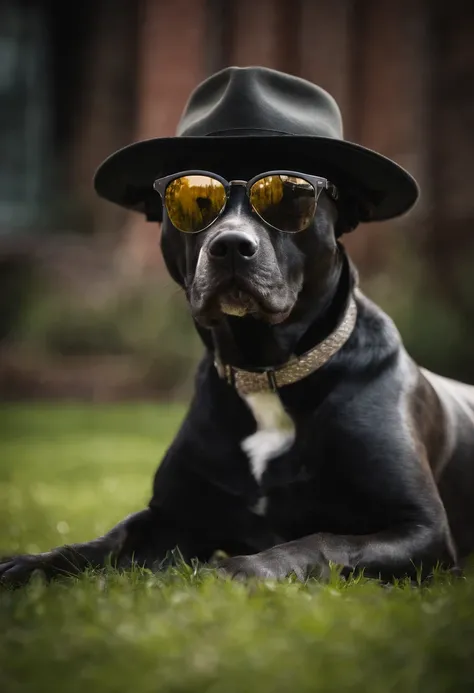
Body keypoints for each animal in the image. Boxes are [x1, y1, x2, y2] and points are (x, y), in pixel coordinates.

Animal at [0, 67, 474, 584]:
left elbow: (321, 542)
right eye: (192, 198)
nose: (229, 245)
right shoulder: (172, 516)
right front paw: (31, 562)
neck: (264, 371)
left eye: (290, 197)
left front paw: (238, 570)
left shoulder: (421, 528)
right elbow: (106, 541)